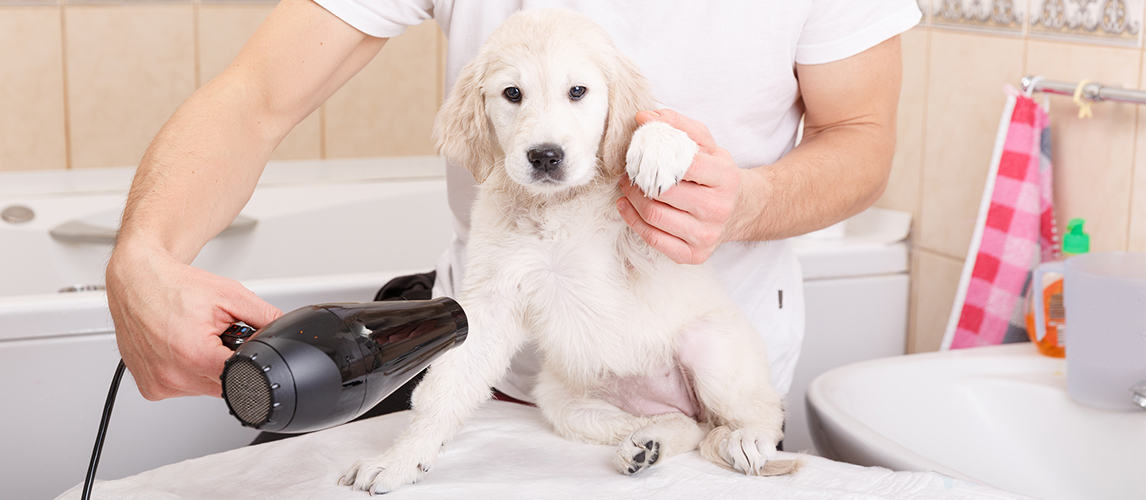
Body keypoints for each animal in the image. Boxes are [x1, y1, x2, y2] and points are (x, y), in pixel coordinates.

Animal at [339, 9, 797, 493]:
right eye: (512, 93)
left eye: (578, 91)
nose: (545, 156)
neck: (556, 206)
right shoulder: (490, 300)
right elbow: (444, 390)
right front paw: (401, 458)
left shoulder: (647, 247)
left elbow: (651, 131)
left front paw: (657, 144)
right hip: (562, 400)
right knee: (688, 426)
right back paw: (646, 445)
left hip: (713, 350)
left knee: (759, 414)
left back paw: (744, 439)